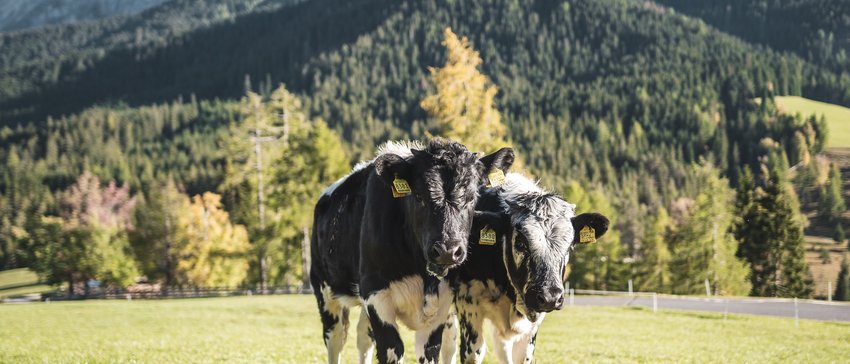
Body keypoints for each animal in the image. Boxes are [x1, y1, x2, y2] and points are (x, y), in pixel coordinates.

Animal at [310, 139, 510, 364]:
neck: (424, 278)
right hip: (324, 289)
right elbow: (392, 349)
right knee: (335, 339)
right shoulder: (375, 293)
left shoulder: (440, 305)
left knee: (363, 338)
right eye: (419, 196)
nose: (447, 250)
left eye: (471, 198)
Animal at [440, 174, 608, 364]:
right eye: (521, 243)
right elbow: (473, 354)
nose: (550, 297)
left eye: (569, 247)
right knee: (448, 345)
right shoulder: (468, 307)